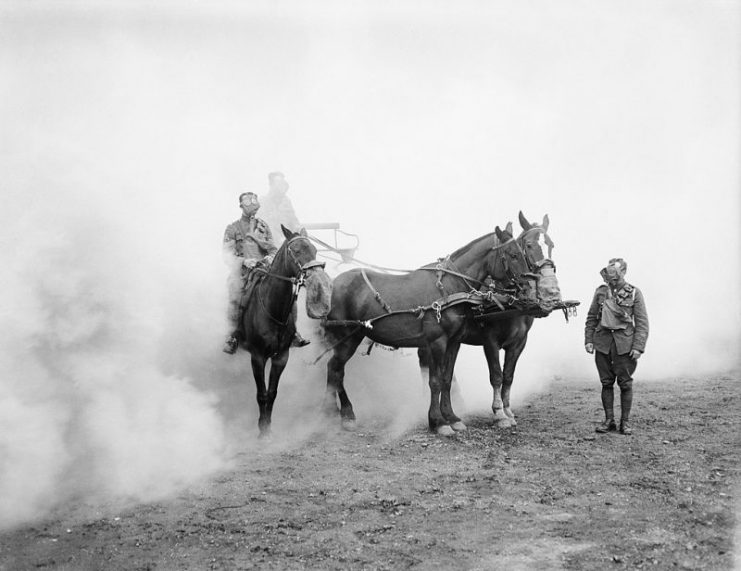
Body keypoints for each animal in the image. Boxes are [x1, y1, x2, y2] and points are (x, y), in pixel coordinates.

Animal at [240, 225, 330, 438]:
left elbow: (272, 393)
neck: (273, 310)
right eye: (296, 251)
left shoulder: (281, 356)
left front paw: (268, 427)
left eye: (314, 249)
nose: (318, 278)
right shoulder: (257, 357)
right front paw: (262, 430)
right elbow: (261, 394)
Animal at [322, 226, 532, 436]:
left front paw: (452, 417)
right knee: (335, 370)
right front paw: (438, 421)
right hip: (346, 339)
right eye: (513, 255)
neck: (449, 288)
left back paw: (337, 413)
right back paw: (340, 415)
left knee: (335, 371)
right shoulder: (437, 342)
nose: (529, 288)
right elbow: (435, 381)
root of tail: (333, 283)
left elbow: (447, 379)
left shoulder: (454, 342)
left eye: (522, 253)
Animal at [416, 213, 556, 428]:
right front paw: (499, 413)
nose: (550, 290)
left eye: (551, 245)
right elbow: (496, 376)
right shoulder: (490, 341)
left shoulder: (519, 343)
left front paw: (508, 411)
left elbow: (508, 377)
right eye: (529, 245)